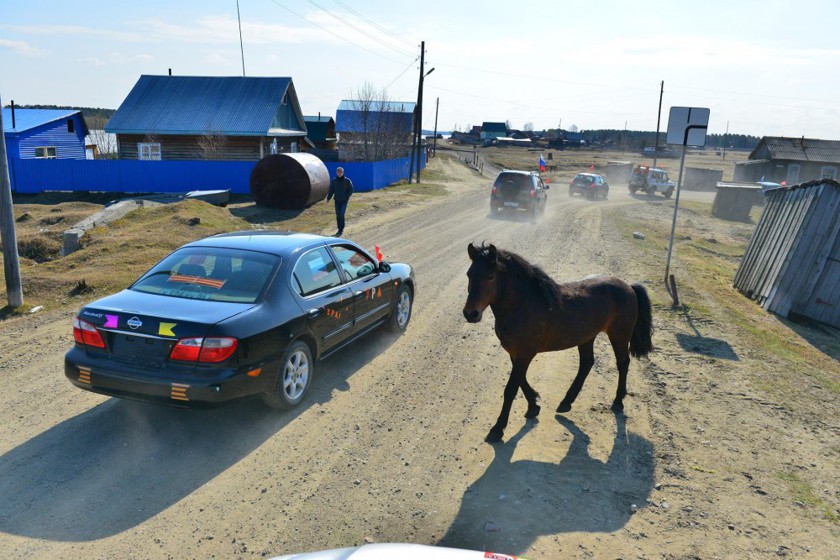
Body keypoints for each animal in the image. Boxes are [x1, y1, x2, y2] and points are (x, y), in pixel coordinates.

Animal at [462, 243, 652, 444]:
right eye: (469, 274)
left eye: (490, 276)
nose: (470, 314)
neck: (523, 305)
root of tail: (629, 287)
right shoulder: (515, 353)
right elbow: (521, 380)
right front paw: (534, 405)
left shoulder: (524, 354)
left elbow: (511, 388)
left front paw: (498, 429)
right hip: (587, 337)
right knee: (587, 363)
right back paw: (566, 402)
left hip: (619, 336)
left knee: (623, 363)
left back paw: (617, 402)